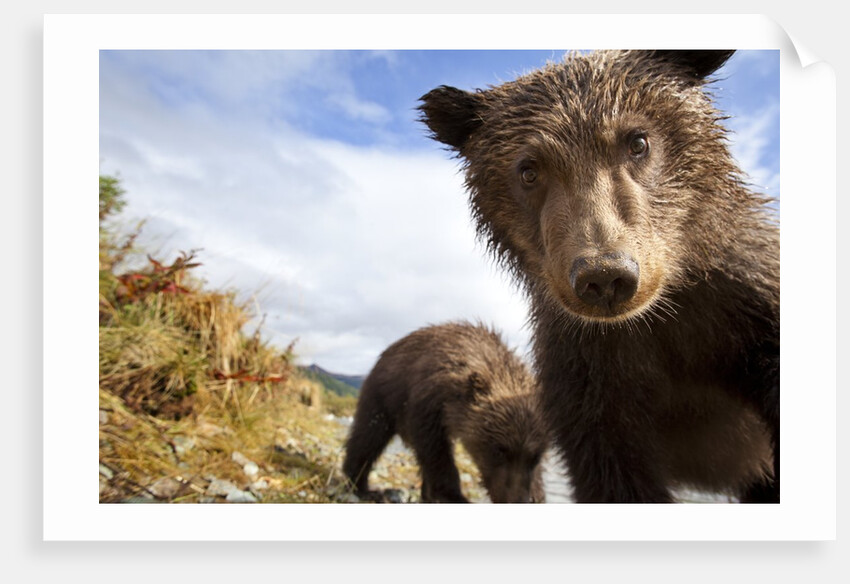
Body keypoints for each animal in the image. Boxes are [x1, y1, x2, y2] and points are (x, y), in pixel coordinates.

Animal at [342, 321, 548, 503]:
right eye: (498, 450)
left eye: (535, 457)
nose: (517, 500)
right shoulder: (427, 403)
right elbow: (435, 451)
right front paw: (451, 495)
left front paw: (537, 493)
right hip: (381, 397)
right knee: (368, 437)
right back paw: (363, 487)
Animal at [419, 50, 779, 503]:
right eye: (529, 170)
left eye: (637, 141)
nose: (605, 275)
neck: (661, 316)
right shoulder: (589, 373)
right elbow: (612, 472)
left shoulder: (745, 307)